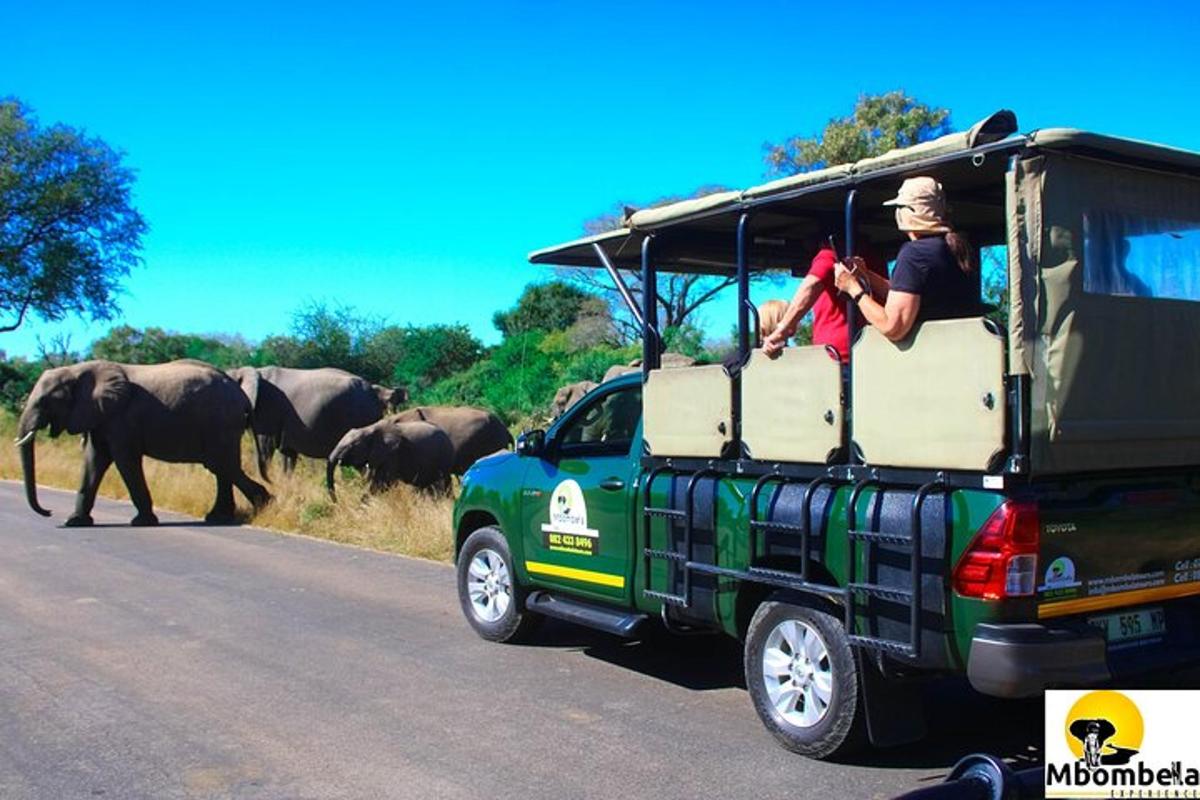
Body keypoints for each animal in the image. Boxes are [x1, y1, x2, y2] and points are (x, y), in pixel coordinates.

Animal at [15, 362, 270, 525]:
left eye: (44, 401)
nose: (48, 512)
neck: (78, 370)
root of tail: (242, 395)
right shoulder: (101, 416)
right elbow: (93, 460)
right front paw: (75, 522)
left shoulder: (121, 418)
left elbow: (124, 460)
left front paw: (143, 521)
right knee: (221, 468)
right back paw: (220, 517)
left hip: (221, 422)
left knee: (221, 465)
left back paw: (265, 504)